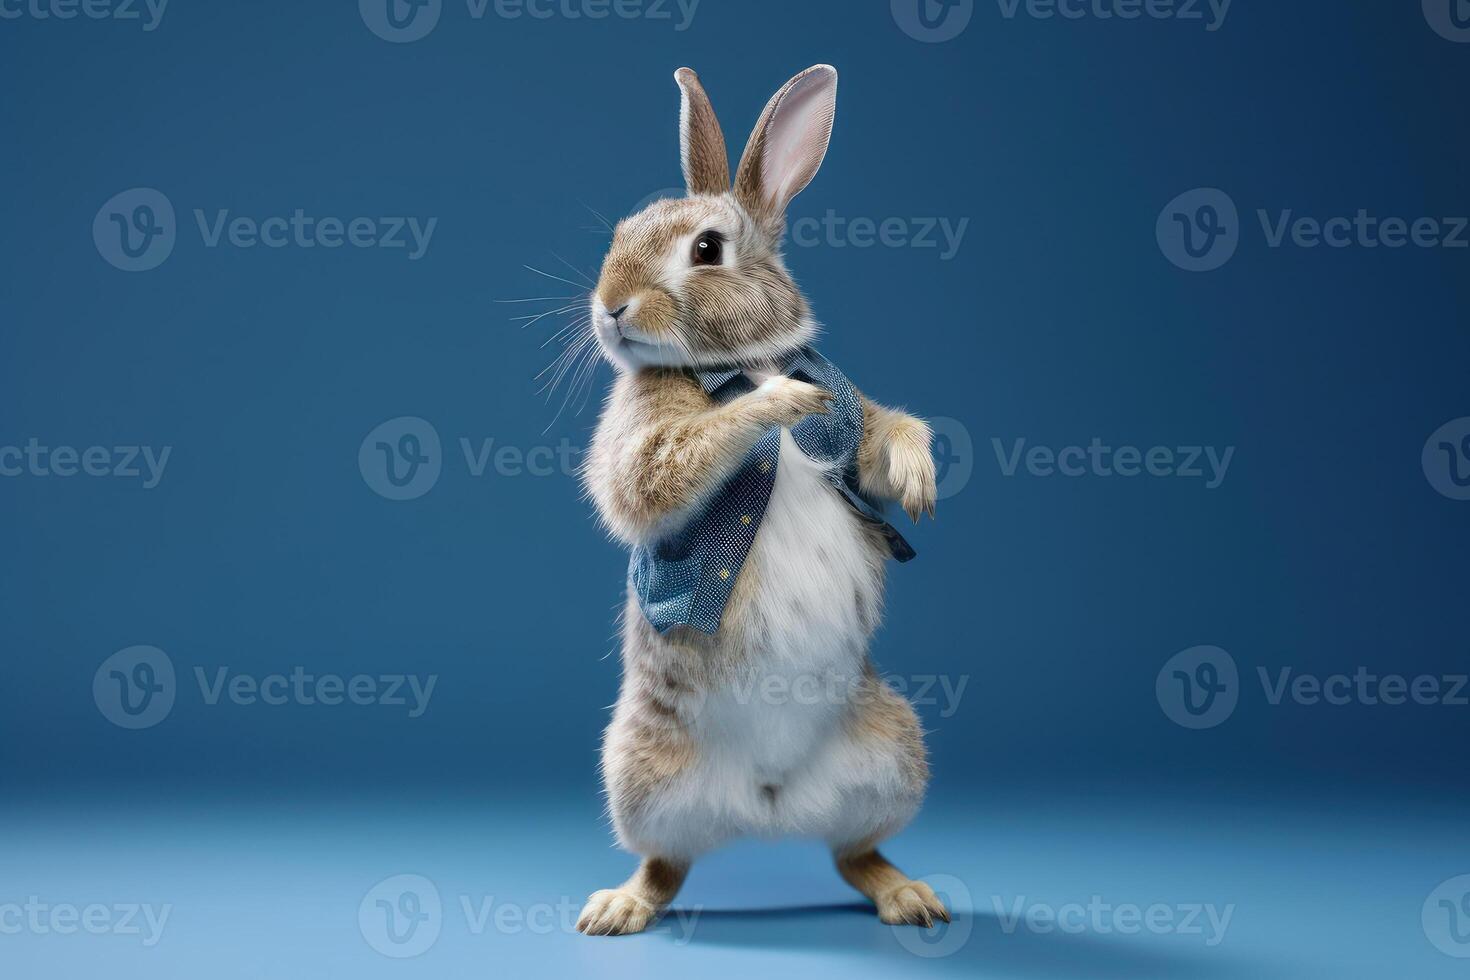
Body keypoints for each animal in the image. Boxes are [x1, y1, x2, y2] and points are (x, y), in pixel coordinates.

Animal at [573, 65, 940, 940]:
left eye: (707, 249)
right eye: (620, 233)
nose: (610, 306)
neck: (742, 360)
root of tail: (769, 805)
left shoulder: (856, 421)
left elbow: (884, 438)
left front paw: (920, 477)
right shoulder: (647, 442)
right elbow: (658, 471)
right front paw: (779, 404)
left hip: (893, 754)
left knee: (853, 853)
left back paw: (908, 896)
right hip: (639, 774)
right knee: (666, 865)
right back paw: (619, 907)